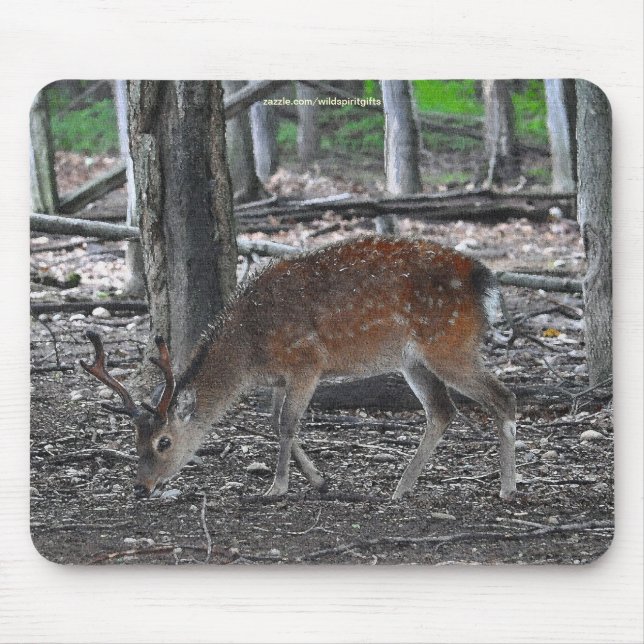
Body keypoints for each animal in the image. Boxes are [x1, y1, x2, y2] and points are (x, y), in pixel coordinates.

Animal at [80, 236, 517, 501]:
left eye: (164, 442)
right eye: (135, 440)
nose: (141, 486)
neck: (249, 349)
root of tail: (484, 279)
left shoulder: (307, 361)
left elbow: (288, 423)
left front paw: (278, 486)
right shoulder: (280, 376)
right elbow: (274, 419)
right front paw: (319, 479)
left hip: (449, 346)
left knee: (503, 396)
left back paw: (507, 487)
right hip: (414, 359)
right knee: (442, 410)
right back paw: (401, 488)